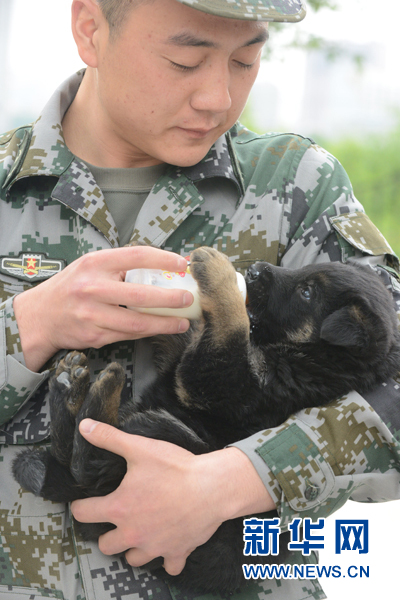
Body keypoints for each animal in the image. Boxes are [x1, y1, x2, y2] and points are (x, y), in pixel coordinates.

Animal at [13, 246, 400, 592]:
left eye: (307, 292)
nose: (253, 270)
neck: (318, 360)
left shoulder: (238, 387)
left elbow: (229, 332)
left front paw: (219, 275)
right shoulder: (186, 356)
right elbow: (193, 330)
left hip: (164, 439)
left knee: (92, 460)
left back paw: (98, 393)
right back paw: (69, 388)